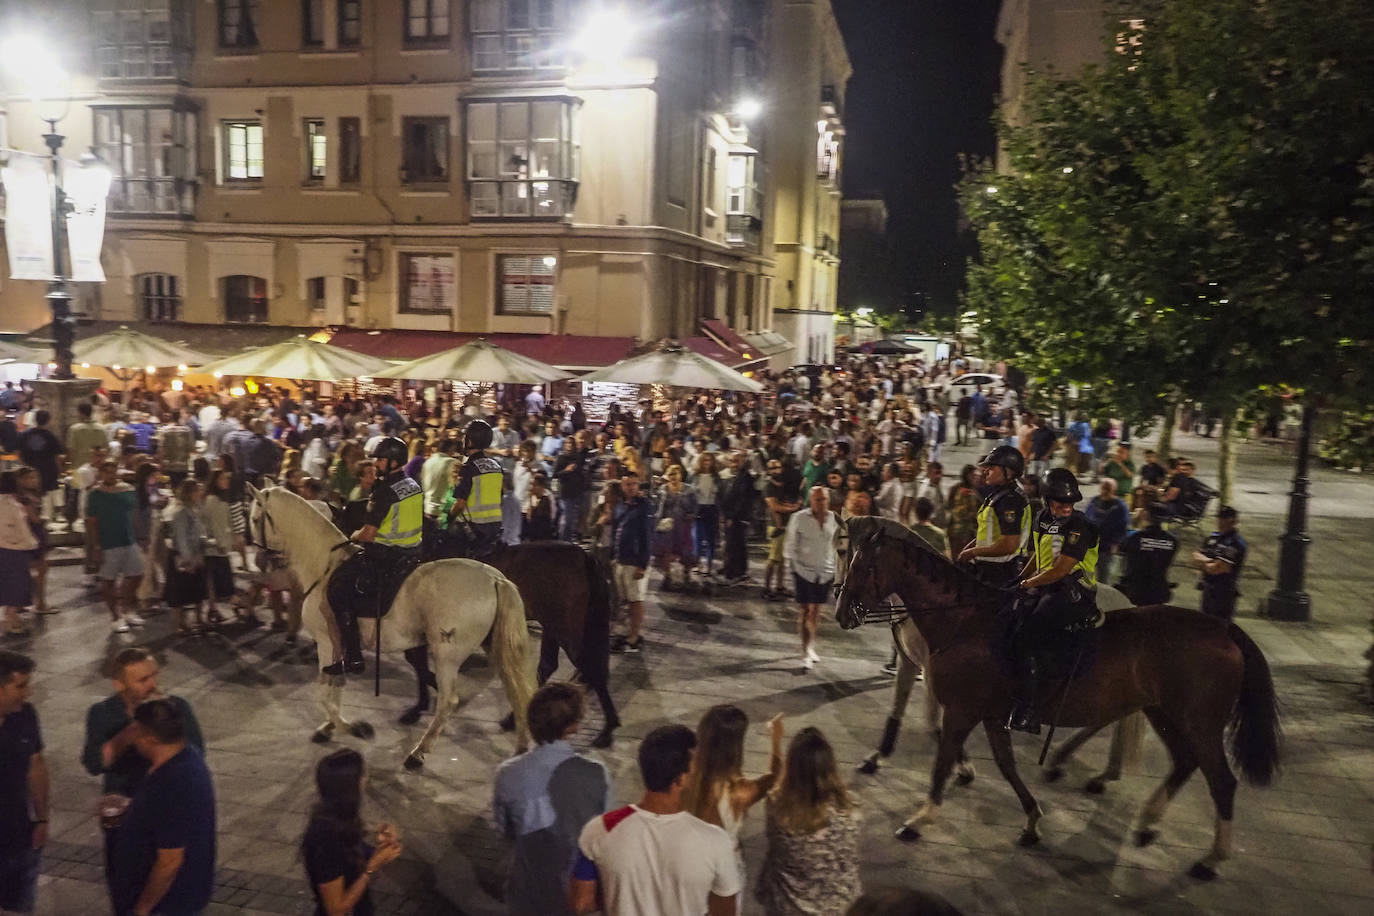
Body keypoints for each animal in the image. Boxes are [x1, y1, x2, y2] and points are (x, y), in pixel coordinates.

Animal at [247, 486, 530, 769]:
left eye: (255, 519)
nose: (259, 561)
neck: (325, 566)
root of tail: (494, 578)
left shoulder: (327, 642)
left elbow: (326, 693)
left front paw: (354, 728)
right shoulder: (336, 646)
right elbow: (333, 690)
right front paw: (329, 727)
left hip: (446, 656)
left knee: (448, 701)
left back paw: (418, 753)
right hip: (492, 647)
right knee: (513, 688)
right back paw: (520, 744)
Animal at [395, 541, 615, 747]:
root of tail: (584, 556)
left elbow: (417, 662)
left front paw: (424, 704)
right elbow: (417, 662)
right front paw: (421, 706)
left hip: (563, 629)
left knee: (592, 670)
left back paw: (607, 731)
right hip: (552, 627)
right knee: (551, 665)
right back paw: (516, 718)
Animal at [829, 519, 1280, 878]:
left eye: (861, 563)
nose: (841, 612)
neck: (966, 621)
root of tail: (1222, 629)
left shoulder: (961, 710)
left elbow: (941, 761)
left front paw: (921, 817)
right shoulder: (989, 714)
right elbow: (1006, 765)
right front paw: (1031, 820)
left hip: (1198, 722)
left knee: (1221, 781)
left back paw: (1212, 858)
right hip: (1164, 713)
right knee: (1183, 762)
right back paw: (1145, 819)